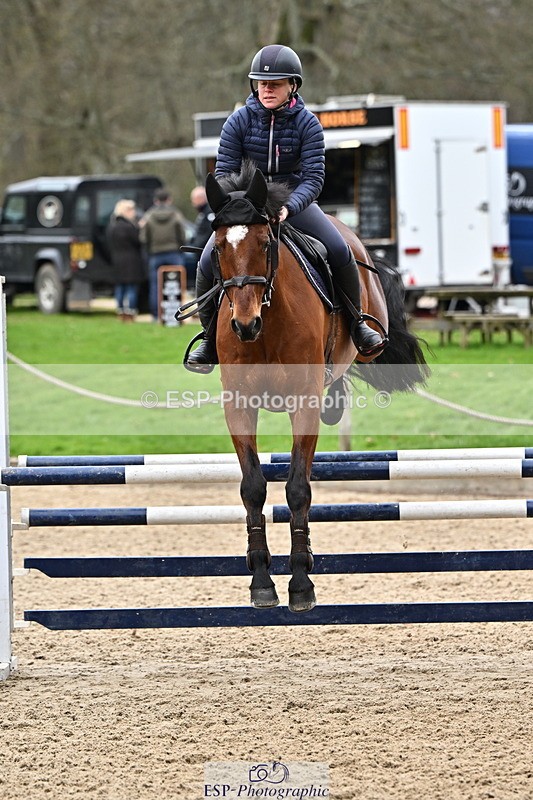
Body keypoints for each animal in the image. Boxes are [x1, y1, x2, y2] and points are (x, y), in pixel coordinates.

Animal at [195, 161, 429, 613]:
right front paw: (261, 582)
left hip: (367, 337)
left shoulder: (302, 404)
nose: (244, 325)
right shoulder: (238, 405)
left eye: (266, 242)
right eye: (217, 251)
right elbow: (253, 488)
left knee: (352, 361)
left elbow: (298, 490)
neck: (267, 325)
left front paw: (301, 584)